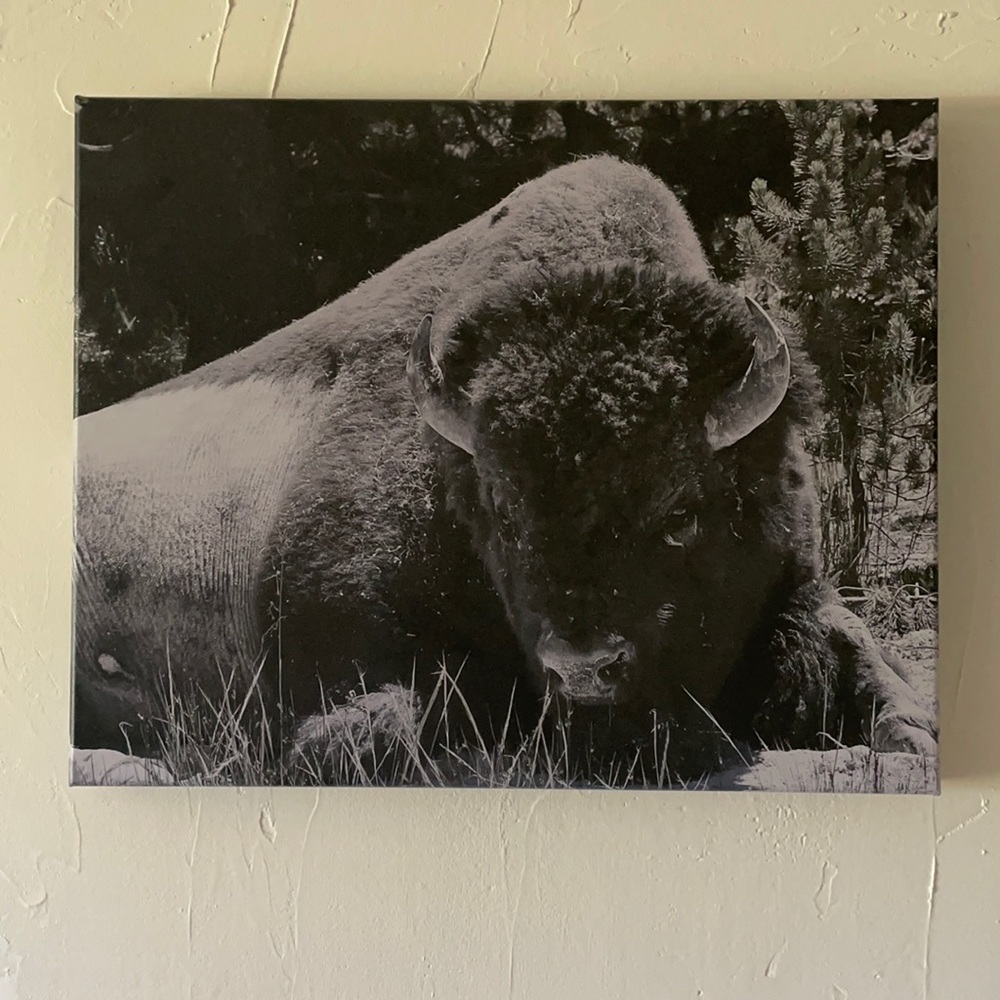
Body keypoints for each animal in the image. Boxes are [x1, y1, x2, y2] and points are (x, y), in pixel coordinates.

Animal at [73, 155, 936, 782]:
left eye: (681, 514)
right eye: (503, 514)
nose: (583, 671)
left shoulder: (800, 592)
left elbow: (877, 674)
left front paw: (907, 738)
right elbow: (381, 728)